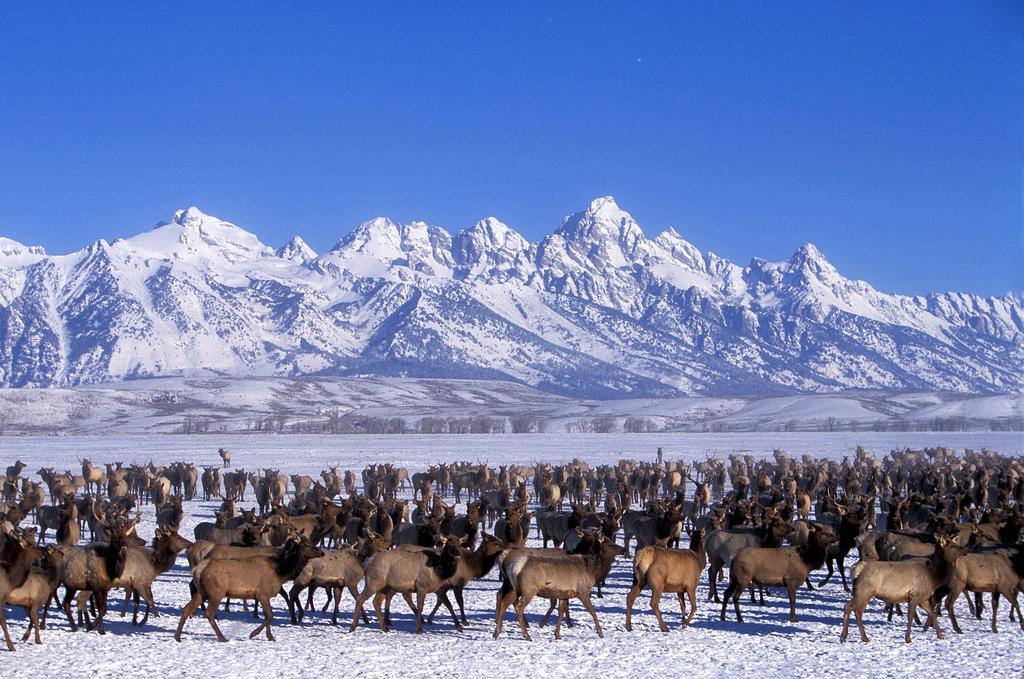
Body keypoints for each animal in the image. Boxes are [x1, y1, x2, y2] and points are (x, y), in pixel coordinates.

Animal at [174, 536, 321, 643]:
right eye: (306, 545)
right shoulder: (263, 593)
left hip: (202, 593)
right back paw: (222, 637)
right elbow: (270, 615)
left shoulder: (264, 596)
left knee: (186, 609)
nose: (320, 551)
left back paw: (178, 637)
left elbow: (268, 616)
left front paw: (270, 637)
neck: (281, 573)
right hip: (216, 593)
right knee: (209, 613)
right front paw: (253, 634)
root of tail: (198, 569)